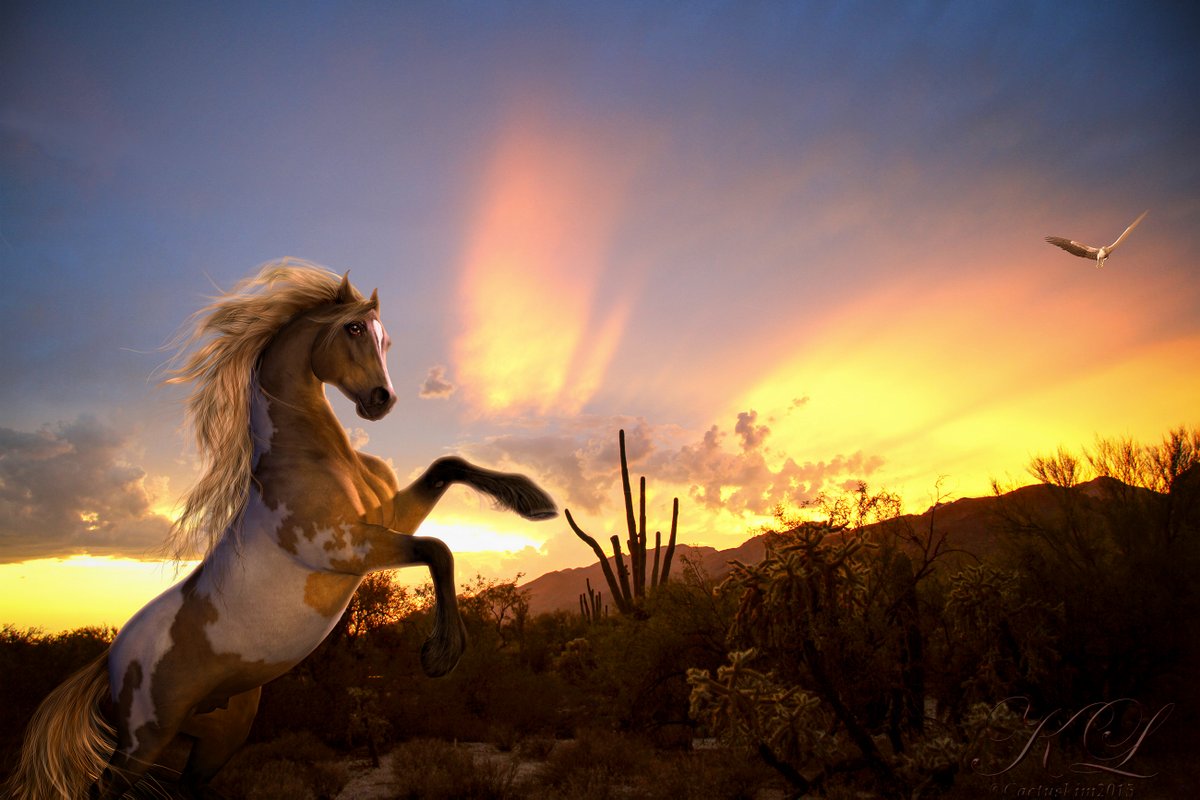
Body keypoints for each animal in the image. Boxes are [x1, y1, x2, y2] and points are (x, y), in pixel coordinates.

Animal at [3, 260, 556, 796]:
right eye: (354, 328)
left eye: (387, 339)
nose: (382, 399)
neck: (314, 458)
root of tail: (111, 660)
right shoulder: (344, 546)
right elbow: (439, 548)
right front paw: (441, 656)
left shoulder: (385, 520)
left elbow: (448, 465)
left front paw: (536, 503)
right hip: (145, 740)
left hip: (220, 733)